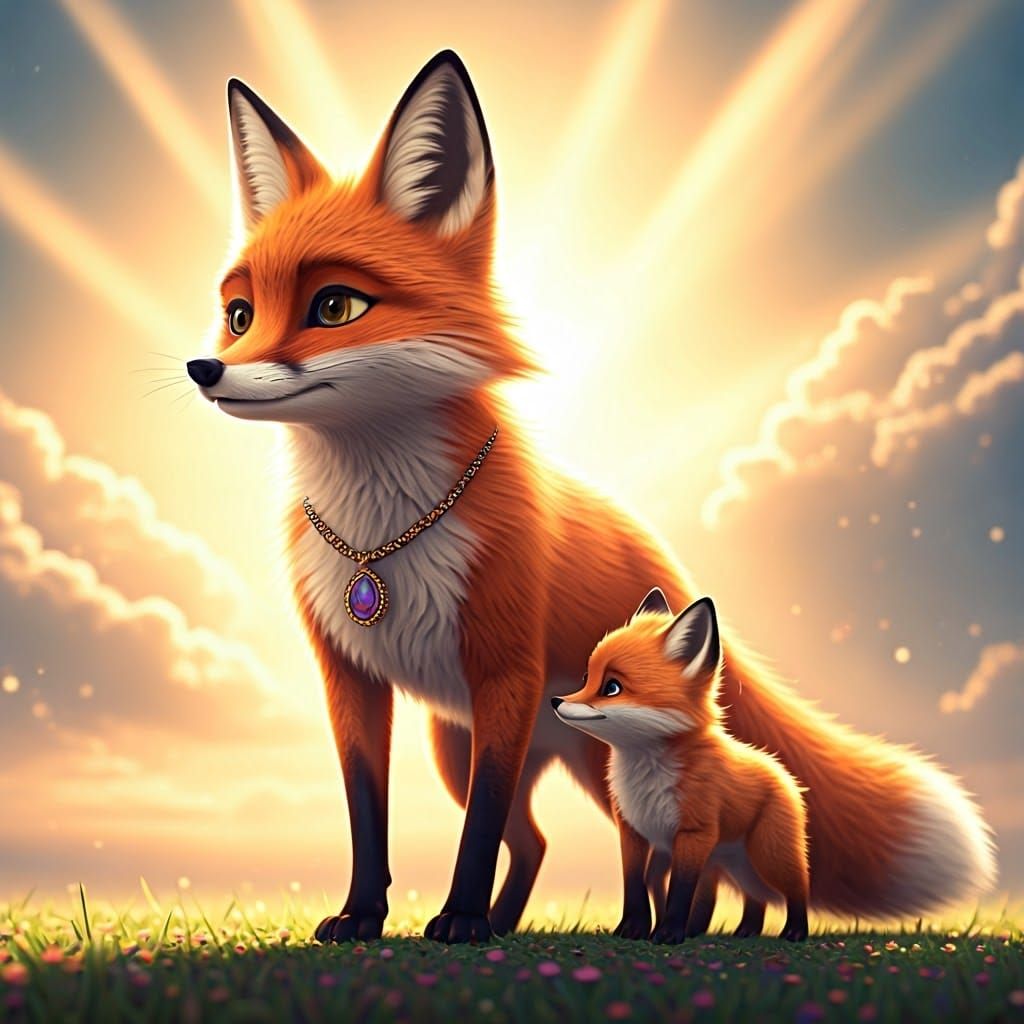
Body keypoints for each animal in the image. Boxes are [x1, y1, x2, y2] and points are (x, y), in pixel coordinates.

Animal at [553, 590, 811, 943]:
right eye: (585, 678)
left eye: (611, 687)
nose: (555, 701)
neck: (646, 772)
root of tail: (782, 771)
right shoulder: (633, 830)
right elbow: (635, 885)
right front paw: (632, 929)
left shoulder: (692, 833)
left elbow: (680, 890)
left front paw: (670, 933)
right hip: (734, 863)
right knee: (755, 896)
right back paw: (745, 930)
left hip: (767, 855)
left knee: (798, 885)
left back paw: (796, 931)